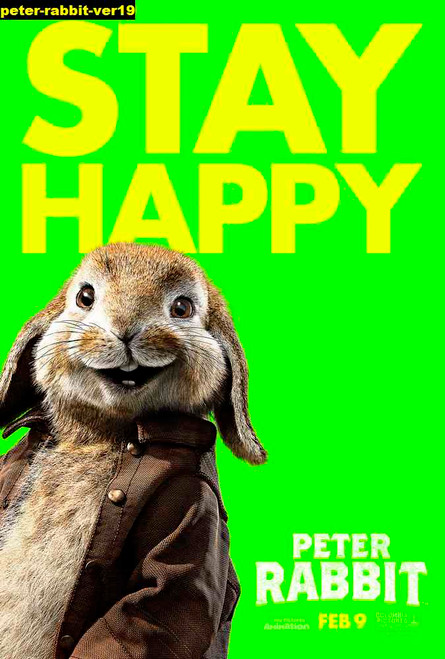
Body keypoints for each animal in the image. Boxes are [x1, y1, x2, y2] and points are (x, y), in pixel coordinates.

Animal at [0, 242, 266, 659]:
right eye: (85, 297)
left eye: (182, 308)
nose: (125, 330)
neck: (100, 432)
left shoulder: (192, 506)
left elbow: (153, 601)